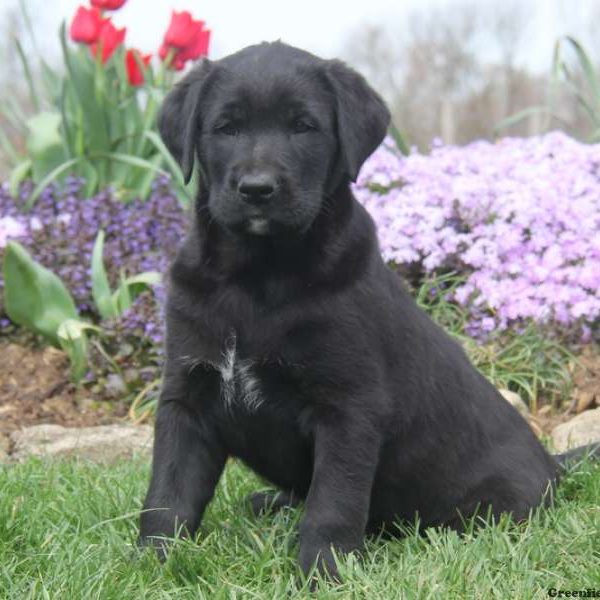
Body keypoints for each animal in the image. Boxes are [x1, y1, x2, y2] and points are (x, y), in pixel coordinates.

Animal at [139, 42, 596, 580]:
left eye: (304, 126)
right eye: (226, 128)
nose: (257, 188)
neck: (256, 275)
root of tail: (553, 465)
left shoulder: (349, 407)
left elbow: (334, 500)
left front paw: (323, 571)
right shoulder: (187, 394)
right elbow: (169, 490)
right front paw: (151, 561)